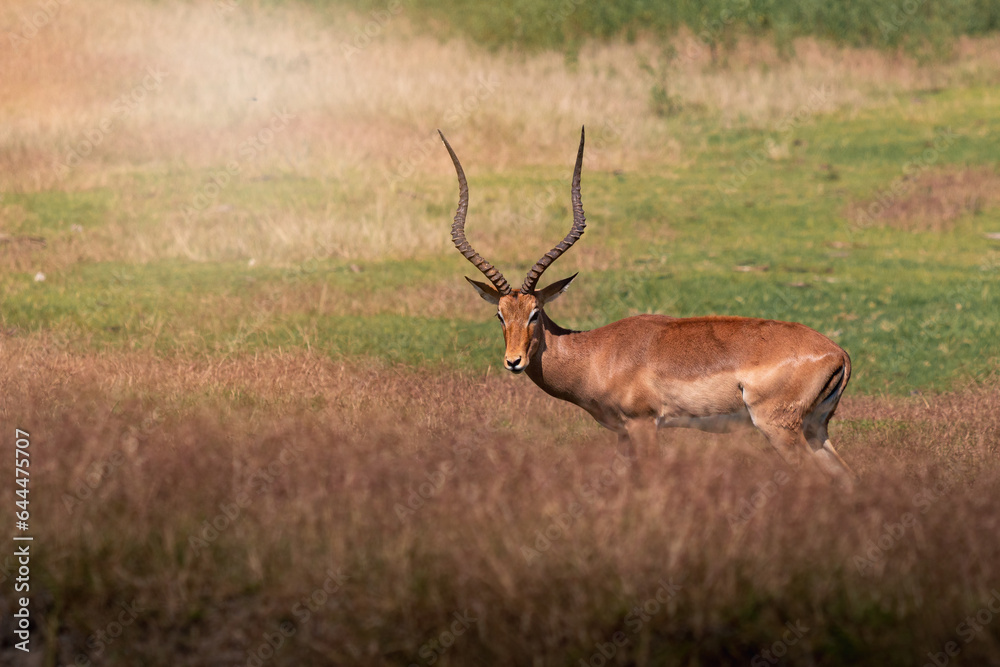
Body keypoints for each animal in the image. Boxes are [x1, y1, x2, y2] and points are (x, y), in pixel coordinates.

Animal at [439, 128, 855, 483]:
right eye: (499, 315)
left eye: (535, 313)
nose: (514, 361)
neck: (597, 353)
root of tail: (837, 353)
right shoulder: (623, 433)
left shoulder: (643, 425)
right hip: (814, 430)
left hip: (778, 429)